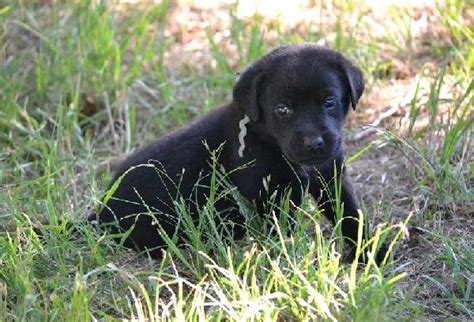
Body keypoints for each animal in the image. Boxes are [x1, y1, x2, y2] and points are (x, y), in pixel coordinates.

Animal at [92, 43, 386, 262]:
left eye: (329, 102)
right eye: (282, 109)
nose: (314, 143)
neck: (270, 142)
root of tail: (99, 214)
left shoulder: (331, 176)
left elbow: (351, 213)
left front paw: (370, 251)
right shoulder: (268, 193)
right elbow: (283, 230)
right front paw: (290, 262)